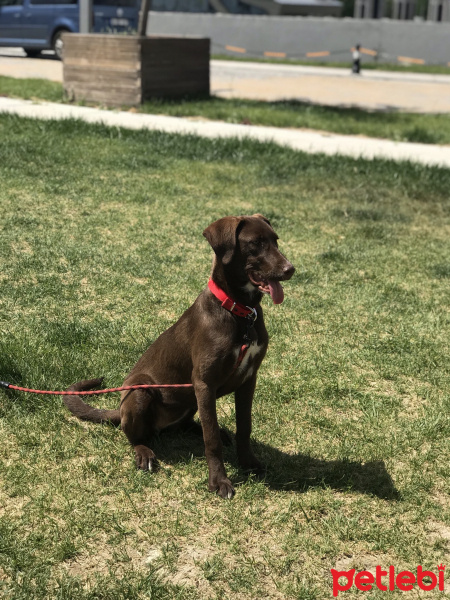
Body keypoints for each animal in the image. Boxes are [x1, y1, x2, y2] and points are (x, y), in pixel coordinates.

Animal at [64, 213, 296, 500]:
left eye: (275, 240)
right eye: (255, 243)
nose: (290, 269)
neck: (240, 312)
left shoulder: (248, 379)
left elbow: (244, 426)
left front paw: (249, 463)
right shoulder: (205, 382)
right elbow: (211, 440)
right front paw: (219, 481)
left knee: (191, 424)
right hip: (140, 389)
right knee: (135, 435)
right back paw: (145, 453)